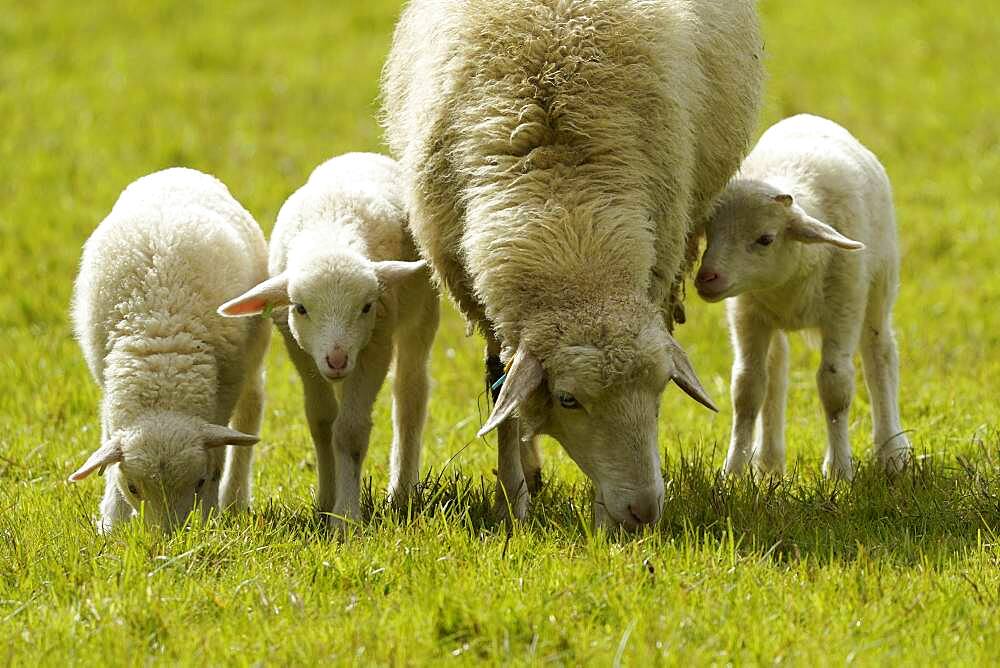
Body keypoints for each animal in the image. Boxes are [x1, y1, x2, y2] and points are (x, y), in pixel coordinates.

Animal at [69, 167, 274, 532]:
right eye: (133, 487)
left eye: (199, 482)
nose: (168, 537)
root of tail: (178, 169)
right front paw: (112, 522)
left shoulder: (224, 390)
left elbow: (219, 455)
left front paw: (209, 516)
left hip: (251, 357)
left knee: (249, 414)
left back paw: (235, 501)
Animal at [219, 153, 438, 532]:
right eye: (300, 308)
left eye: (366, 307)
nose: (337, 360)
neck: (330, 232)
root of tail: (360, 155)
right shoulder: (300, 351)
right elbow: (322, 422)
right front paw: (326, 502)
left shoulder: (375, 344)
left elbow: (349, 431)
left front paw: (346, 518)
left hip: (421, 313)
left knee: (411, 394)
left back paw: (402, 492)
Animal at [382, 1, 764, 532]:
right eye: (568, 399)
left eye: (661, 387)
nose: (643, 511)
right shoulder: (485, 304)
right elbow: (503, 392)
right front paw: (514, 502)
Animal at [696, 115, 916, 480]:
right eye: (709, 233)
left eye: (766, 239)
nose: (706, 278)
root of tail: (808, 118)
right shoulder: (747, 313)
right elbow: (747, 389)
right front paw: (734, 471)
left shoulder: (843, 308)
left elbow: (835, 386)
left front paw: (839, 470)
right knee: (776, 371)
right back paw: (769, 462)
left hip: (877, 287)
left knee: (879, 356)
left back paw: (892, 451)